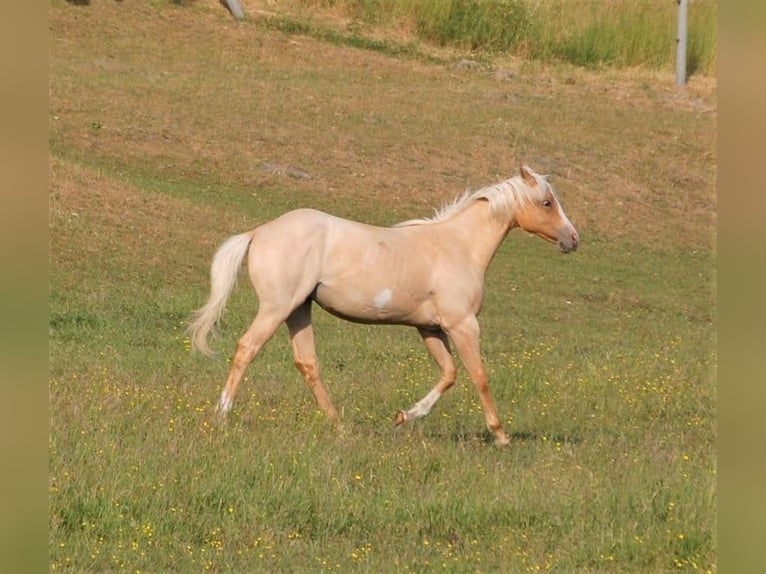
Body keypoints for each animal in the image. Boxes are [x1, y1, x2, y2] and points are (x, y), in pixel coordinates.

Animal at [189, 164, 579, 445]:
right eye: (547, 202)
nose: (573, 239)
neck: (457, 246)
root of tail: (259, 232)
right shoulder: (463, 325)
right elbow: (479, 376)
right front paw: (500, 435)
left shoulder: (430, 328)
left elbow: (449, 374)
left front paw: (402, 417)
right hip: (276, 308)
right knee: (246, 349)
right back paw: (222, 416)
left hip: (298, 310)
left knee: (307, 363)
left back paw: (339, 426)